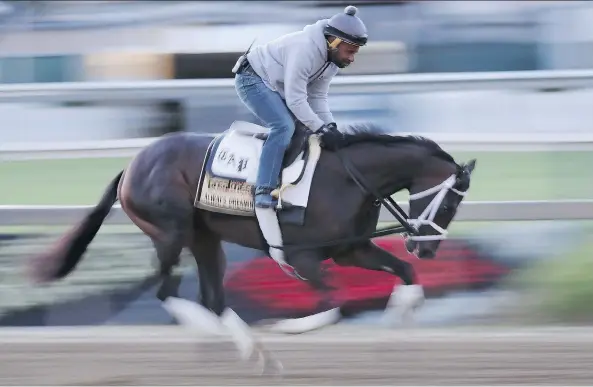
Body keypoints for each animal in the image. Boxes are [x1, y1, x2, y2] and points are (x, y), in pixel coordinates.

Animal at [26, 120, 476, 372]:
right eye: (450, 202)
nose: (427, 249)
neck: (348, 178)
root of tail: (132, 165)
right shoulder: (302, 256)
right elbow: (335, 305)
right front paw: (285, 327)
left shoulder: (352, 249)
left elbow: (404, 275)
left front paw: (398, 326)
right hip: (170, 233)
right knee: (168, 290)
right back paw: (234, 342)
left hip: (205, 239)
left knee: (211, 297)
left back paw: (252, 351)